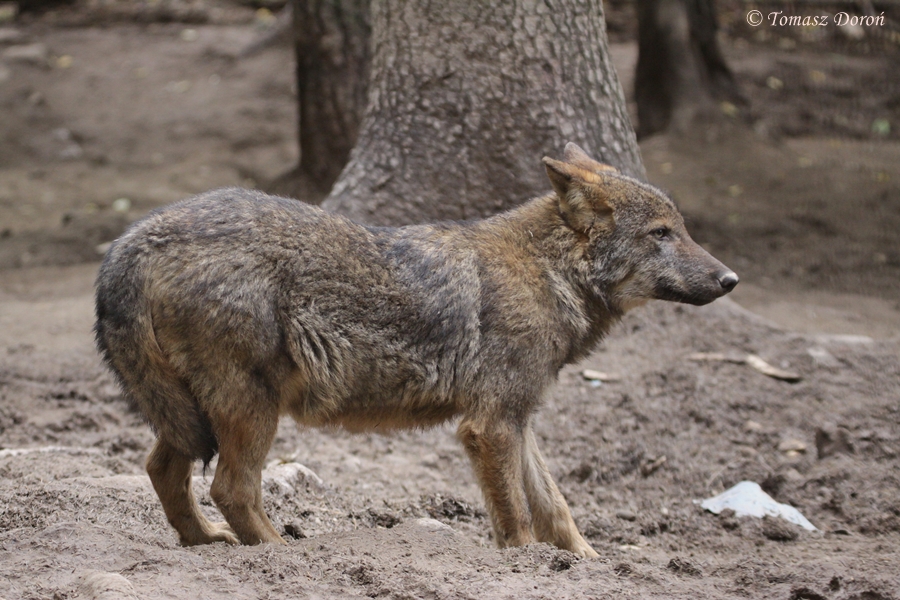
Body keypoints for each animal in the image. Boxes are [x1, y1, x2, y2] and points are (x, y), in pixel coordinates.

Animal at [94, 143, 737, 557]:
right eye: (661, 234)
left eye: (681, 229)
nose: (731, 279)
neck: (546, 271)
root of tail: (132, 241)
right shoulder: (490, 425)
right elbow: (517, 515)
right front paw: (527, 561)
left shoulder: (518, 417)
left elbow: (556, 504)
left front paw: (585, 562)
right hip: (253, 410)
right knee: (231, 487)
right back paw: (282, 554)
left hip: (195, 415)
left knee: (162, 470)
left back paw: (203, 541)